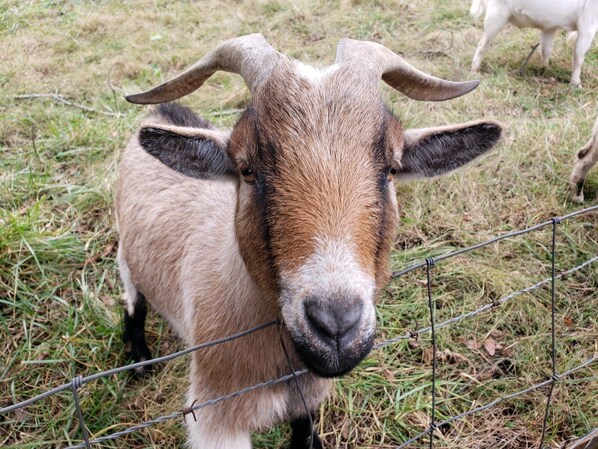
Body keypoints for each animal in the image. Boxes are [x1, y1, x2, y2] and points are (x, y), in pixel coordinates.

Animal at [116, 32, 502, 448]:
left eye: (392, 169)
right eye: (246, 170)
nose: (335, 325)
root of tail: (162, 113)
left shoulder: (308, 400)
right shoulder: (216, 420)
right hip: (125, 255)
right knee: (133, 301)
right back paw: (139, 360)